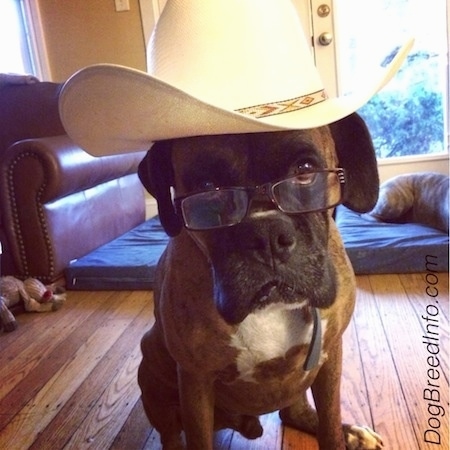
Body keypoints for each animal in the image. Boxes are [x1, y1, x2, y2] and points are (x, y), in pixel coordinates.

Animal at [136, 112, 384, 450]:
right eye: (208, 188)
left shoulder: (330, 353)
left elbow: (329, 424)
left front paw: (339, 433)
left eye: (305, 171)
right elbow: (198, 437)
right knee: (171, 435)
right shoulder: (194, 381)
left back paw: (352, 433)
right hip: (150, 365)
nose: (266, 235)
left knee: (296, 413)